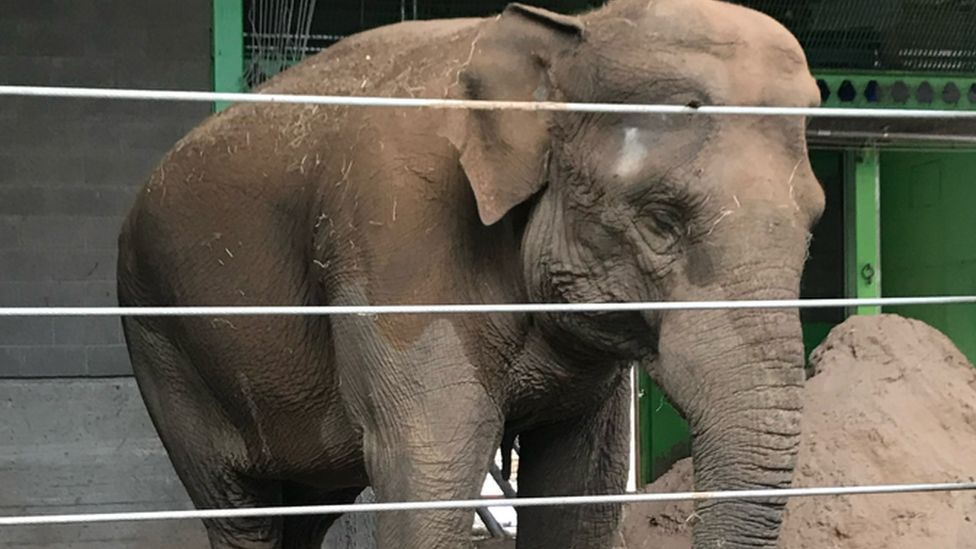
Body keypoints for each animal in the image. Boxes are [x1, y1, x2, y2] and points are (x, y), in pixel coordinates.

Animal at [114, 0, 824, 544]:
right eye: (661, 221)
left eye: (816, 221)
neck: (572, 32)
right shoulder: (398, 232)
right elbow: (432, 463)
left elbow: (581, 483)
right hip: (163, 346)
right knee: (243, 511)